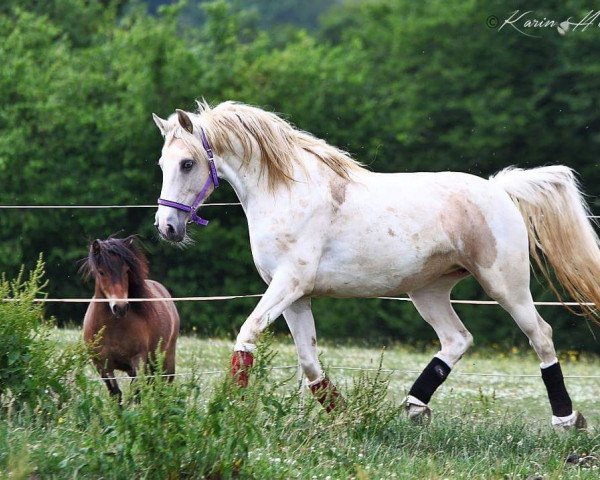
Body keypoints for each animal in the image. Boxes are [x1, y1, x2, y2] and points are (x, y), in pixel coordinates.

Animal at [82, 237, 180, 402]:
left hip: (165, 362)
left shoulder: (138, 360)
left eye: (126, 270)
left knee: (161, 389)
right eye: (102, 272)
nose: (120, 307)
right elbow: (116, 393)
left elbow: (136, 393)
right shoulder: (102, 365)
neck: (113, 327)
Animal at [151, 100, 600, 428]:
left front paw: (228, 408)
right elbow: (309, 363)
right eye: (162, 165)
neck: (287, 193)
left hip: (505, 285)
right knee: (457, 339)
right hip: (428, 291)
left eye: (187, 163)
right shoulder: (295, 297)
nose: (167, 227)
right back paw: (414, 406)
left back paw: (566, 420)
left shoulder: (288, 284)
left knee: (540, 335)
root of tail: (499, 190)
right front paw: (347, 416)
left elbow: (247, 336)